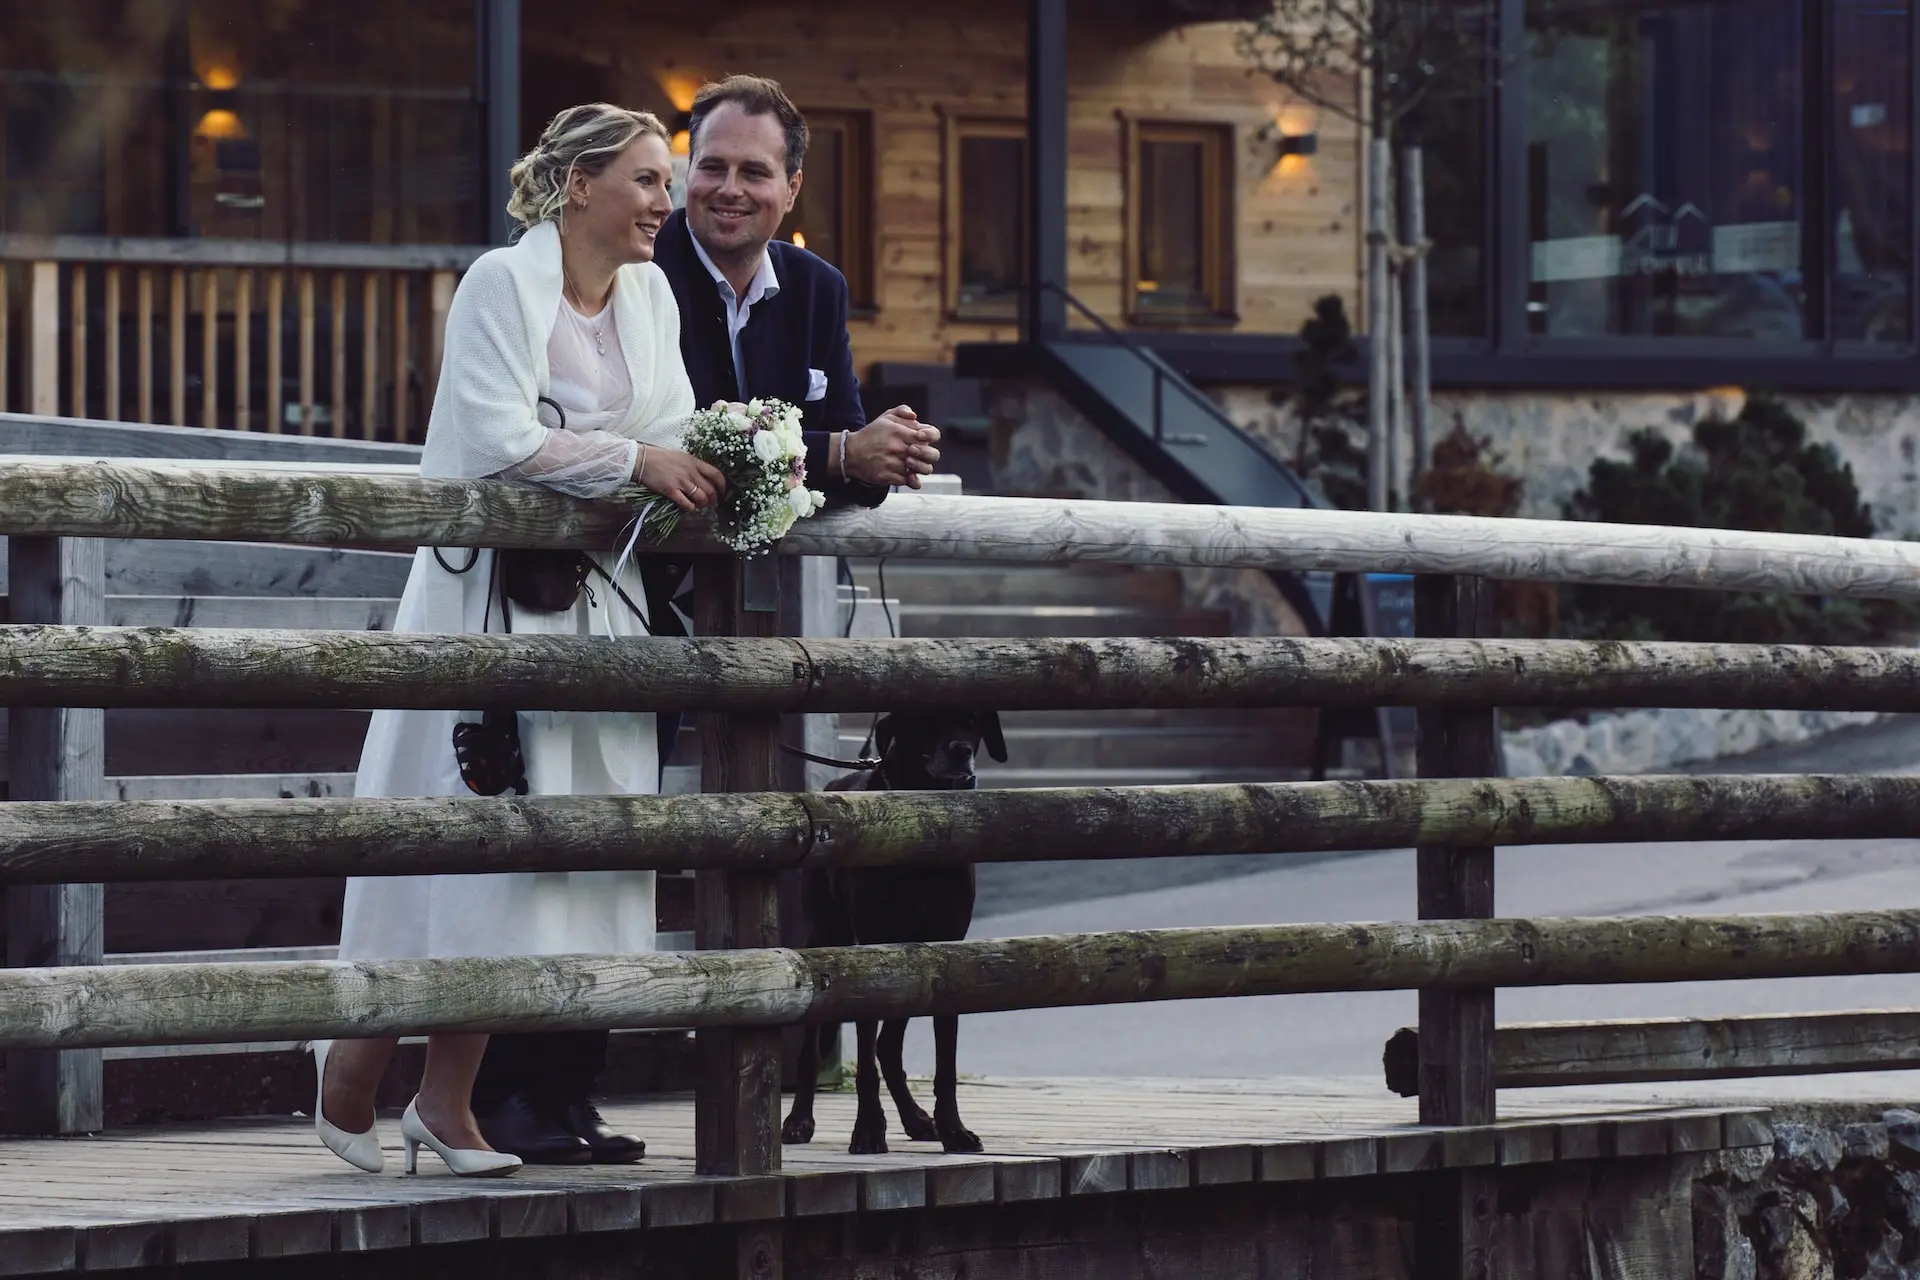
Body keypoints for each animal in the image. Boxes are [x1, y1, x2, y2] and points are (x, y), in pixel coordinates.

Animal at [779, 706, 1013, 1159]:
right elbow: (865, 1057)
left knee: (888, 1047)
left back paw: (917, 1120)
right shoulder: (872, 948)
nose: (960, 751)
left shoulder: (949, 952)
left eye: (973, 721)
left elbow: (944, 1061)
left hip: (912, 966)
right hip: (829, 934)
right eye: (929, 719)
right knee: (819, 1045)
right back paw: (799, 1119)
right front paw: (869, 1130)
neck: (922, 819)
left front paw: (953, 1128)